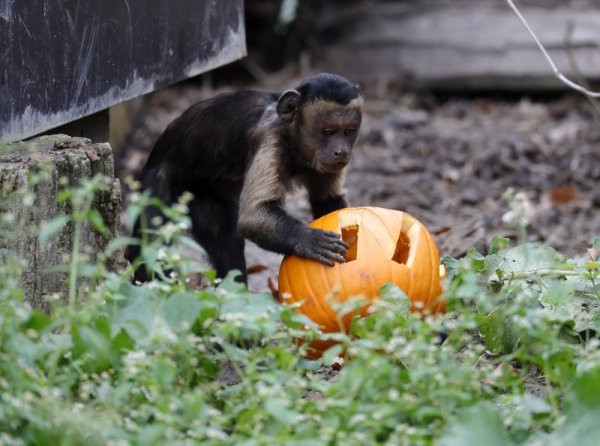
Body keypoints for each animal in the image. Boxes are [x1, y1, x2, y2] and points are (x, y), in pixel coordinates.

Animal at [131, 72, 364, 282]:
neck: (293, 140)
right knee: (152, 242)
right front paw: (309, 239)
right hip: (156, 181)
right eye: (329, 131)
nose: (341, 151)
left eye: (349, 131)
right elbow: (252, 216)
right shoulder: (270, 139)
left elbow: (327, 201)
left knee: (226, 240)